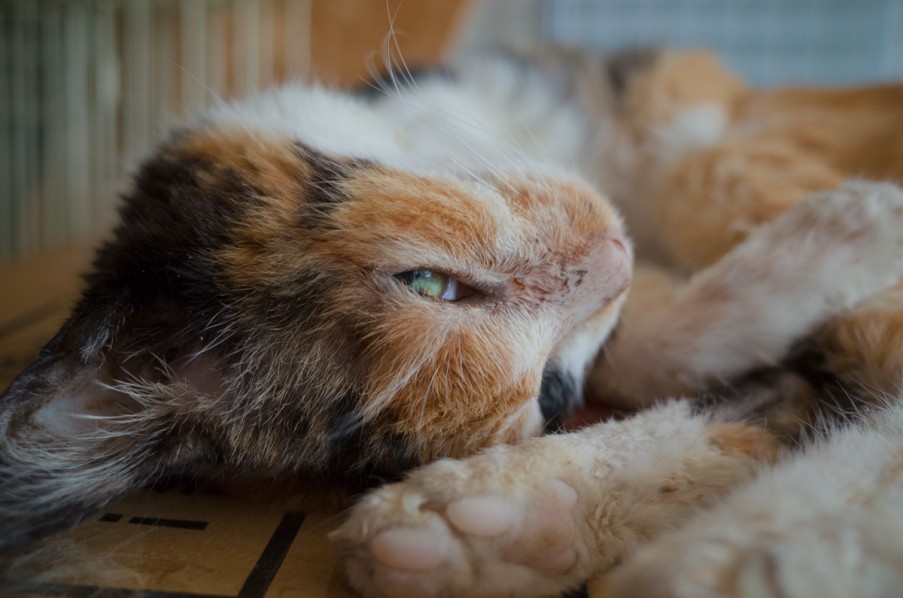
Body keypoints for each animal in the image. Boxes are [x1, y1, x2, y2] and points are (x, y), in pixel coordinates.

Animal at [1, 43, 903, 598]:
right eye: (550, 395)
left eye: (427, 282)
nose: (611, 261)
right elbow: (651, 348)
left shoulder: (678, 90)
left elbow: (703, 174)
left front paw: (863, 219)